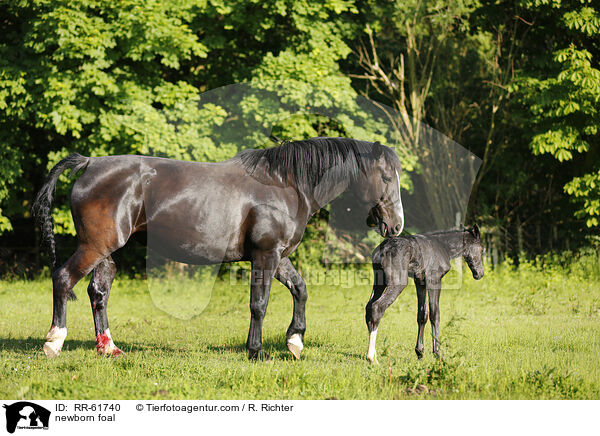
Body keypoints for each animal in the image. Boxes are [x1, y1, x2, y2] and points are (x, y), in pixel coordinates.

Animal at [35, 138, 406, 360]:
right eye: (386, 178)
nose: (397, 225)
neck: (286, 185)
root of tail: (89, 163)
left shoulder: (279, 256)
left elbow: (300, 290)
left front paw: (295, 342)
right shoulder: (265, 255)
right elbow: (259, 304)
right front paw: (256, 351)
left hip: (107, 251)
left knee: (98, 291)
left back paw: (108, 348)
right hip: (94, 246)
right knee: (63, 279)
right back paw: (54, 342)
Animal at [366, 223, 482, 362]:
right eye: (482, 250)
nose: (480, 274)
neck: (444, 246)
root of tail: (382, 249)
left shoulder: (420, 281)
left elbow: (422, 314)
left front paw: (420, 352)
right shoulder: (434, 280)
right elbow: (434, 314)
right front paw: (438, 353)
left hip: (379, 281)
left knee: (368, 308)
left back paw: (374, 355)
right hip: (398, 282)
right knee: (377, 307)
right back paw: (371, 358)